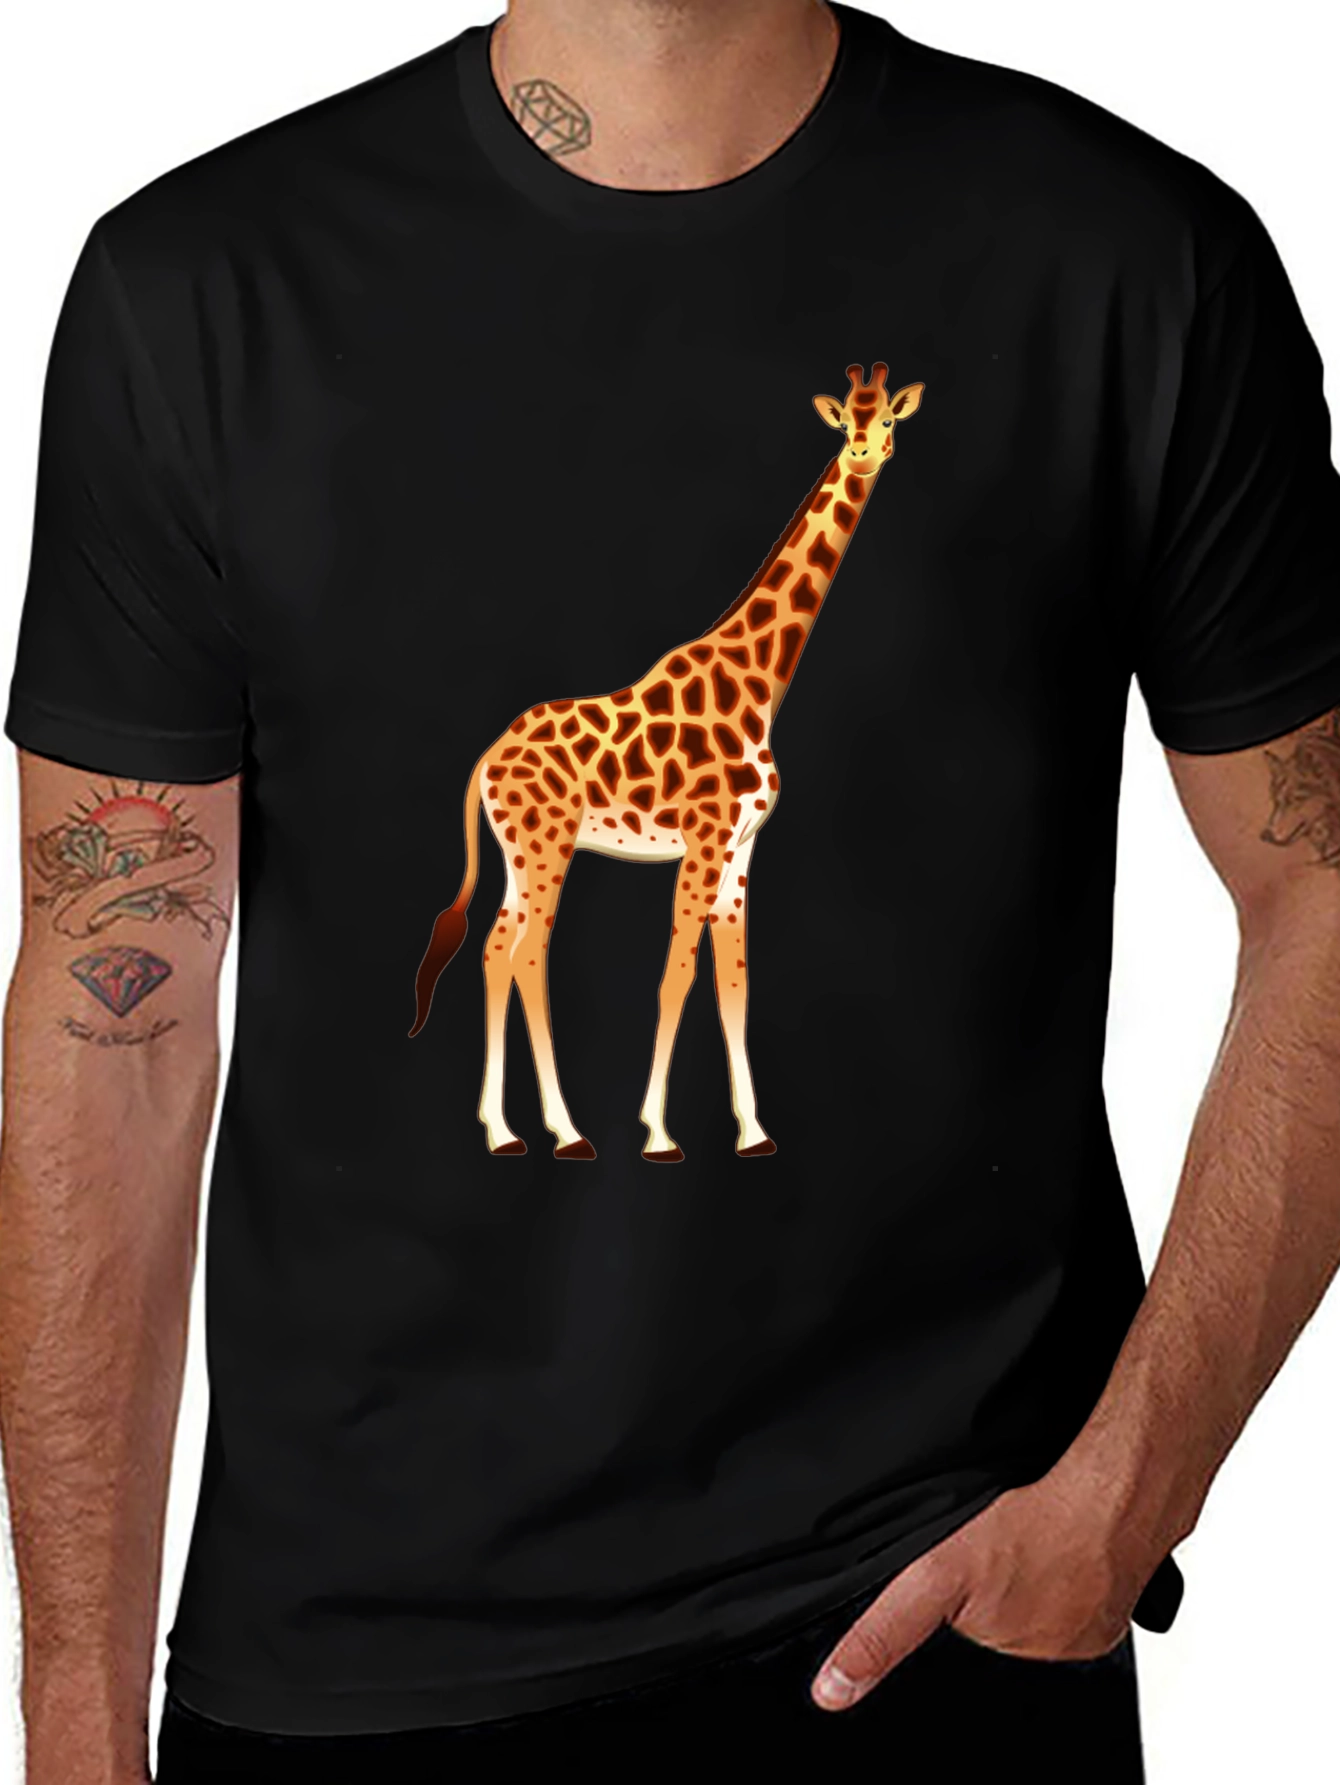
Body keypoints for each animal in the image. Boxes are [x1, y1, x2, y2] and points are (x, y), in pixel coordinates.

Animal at [409, 363, 923, 1159]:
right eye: (847, 423)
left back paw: (516, 1128)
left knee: (499, 947)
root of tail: (485, 762)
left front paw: (753, 1131)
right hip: (547, 845)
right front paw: (656, 1132)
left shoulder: (742, 848)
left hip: (521, 851)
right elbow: (676, 975)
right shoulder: (706, 842)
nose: (866, 455)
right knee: (524, 953)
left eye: (890, 421)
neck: (759, 683)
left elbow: (734, 984)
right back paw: (548, 1131)